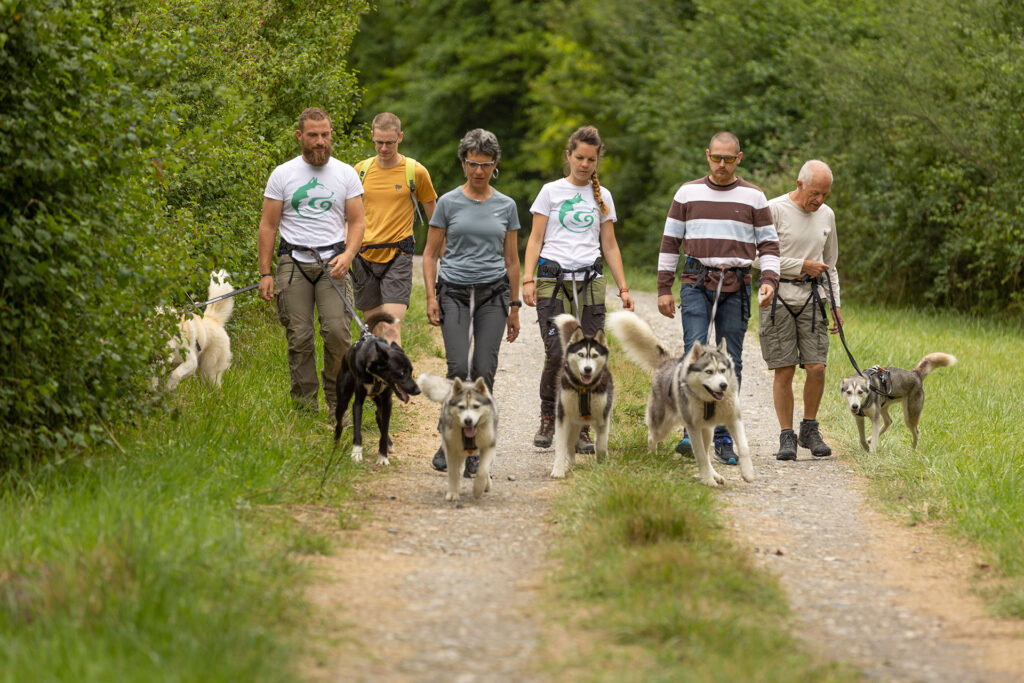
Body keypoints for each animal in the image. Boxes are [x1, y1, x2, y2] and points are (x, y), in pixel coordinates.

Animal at [333, 313, 417, 464]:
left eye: (411, 371)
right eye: (402, 373)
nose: (417, 390)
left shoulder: (388, 403)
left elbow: (384, 430)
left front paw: (383, 456)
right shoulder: (358, 403)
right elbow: (357, 430)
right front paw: (356, 452)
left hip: (379, 400)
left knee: (379, 416)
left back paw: (389, 443)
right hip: (342, 400)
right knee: (339, 422)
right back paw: (335, 445)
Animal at [606, 313, 753, 489]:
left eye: (723, 370)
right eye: (709, 372)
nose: (723, 385)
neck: (710, 402)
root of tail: (668, 362)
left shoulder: (733, 419)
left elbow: (743, 448)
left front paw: (747, 473)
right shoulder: (692, 427)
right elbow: (700, 455)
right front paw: (707, 480)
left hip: (707, 430)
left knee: (707, 452)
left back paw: (715, 475)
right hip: (663, 426)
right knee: (652, 437)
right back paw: (653, 457)